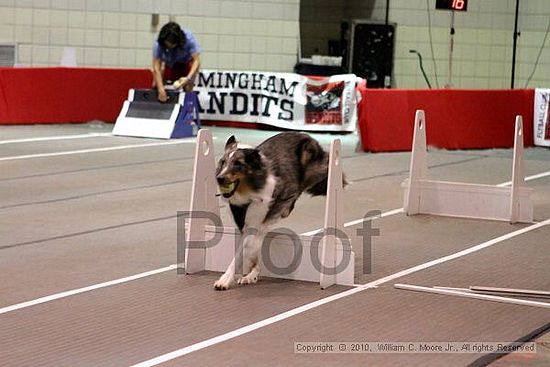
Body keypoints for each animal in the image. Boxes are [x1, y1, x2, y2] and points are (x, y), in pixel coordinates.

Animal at [215, 132, 340, 290]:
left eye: (238, 164)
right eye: (223, 162)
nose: (220, 178)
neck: (248, 190)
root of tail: (304, 134)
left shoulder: (255, 221)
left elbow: (242, 252)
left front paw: (225, 280)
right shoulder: (241, 221)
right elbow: (251, 249)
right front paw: (251, 274)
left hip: (311, 166)